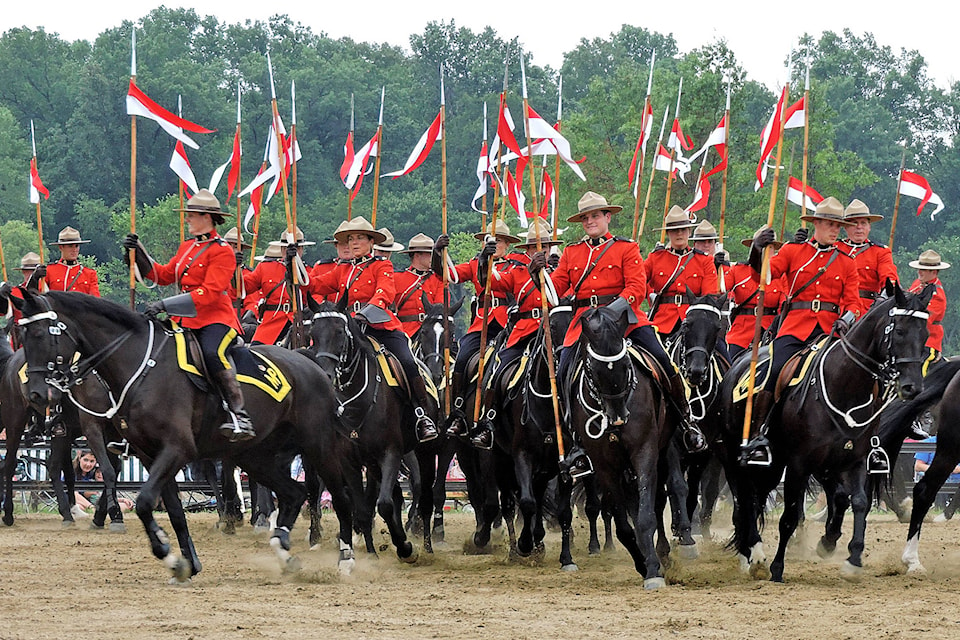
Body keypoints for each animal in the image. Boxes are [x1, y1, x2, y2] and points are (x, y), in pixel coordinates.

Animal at [8, 290, 352, 580]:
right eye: (23, 336)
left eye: (40, 334)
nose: (36, 393)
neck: (142, 366)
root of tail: (313, 366)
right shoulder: (150, 455)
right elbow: (172, 509)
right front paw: (186, 561)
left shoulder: (176, 449)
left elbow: (145, 501)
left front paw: (167, 553)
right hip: (256, 457)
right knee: (293, 493)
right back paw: (283, 551)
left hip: (318, 446)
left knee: (338, 495)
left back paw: (345, 557)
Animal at [720, 282, 928, 584]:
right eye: (899, 331)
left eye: (925, 334)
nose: (913, 387)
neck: (844, 385)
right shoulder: (799, 464)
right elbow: (789, 516)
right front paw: (777, 568)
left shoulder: (854, 460)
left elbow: (859, 503)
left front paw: (851, 557)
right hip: (736, 458)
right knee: (746, 500)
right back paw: (755, 555)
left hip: (780, 465)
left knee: (760, 499)